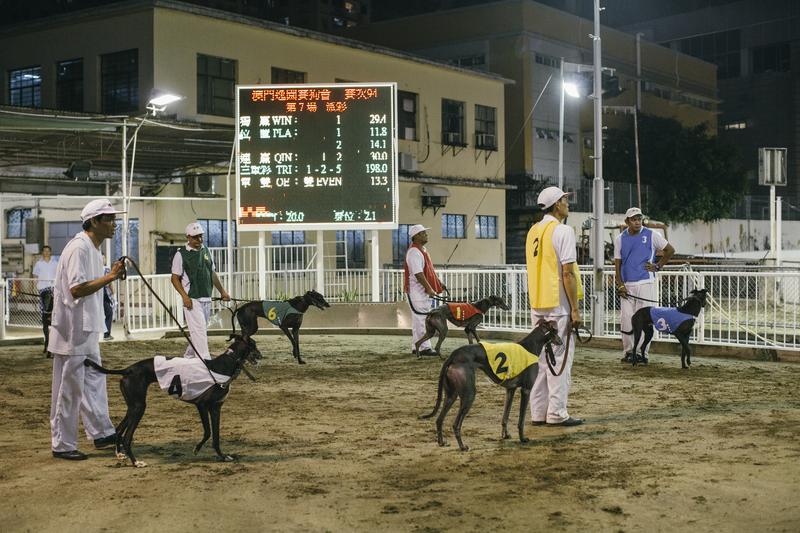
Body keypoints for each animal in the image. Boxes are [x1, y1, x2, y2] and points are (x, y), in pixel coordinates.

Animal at [83, 336, 260, 466]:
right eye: (254, 344)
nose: (261, 355)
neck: (225, 365)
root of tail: (128, 369)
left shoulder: (216, 408)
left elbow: (216, 437)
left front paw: (223, 457)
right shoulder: (202, 405)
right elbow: (208, 432)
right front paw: (197, 448)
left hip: (133, 406)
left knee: (119, 430)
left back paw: (119, 454)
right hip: (139, 407)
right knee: (127, 437)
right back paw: (136, 462)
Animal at [418, 318, 564, 450]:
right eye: (556, 331)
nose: (562, 342)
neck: (531, 346)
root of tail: (453, 356)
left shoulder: (510, 390)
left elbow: (505, 416)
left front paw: (505, 435)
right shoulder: (526, 390)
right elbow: (521, 420)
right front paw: (522, 438)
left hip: (451, 395)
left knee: (439, 419)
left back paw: (442, 442)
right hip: (469, 394)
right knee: (455, 424)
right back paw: (462, 446)